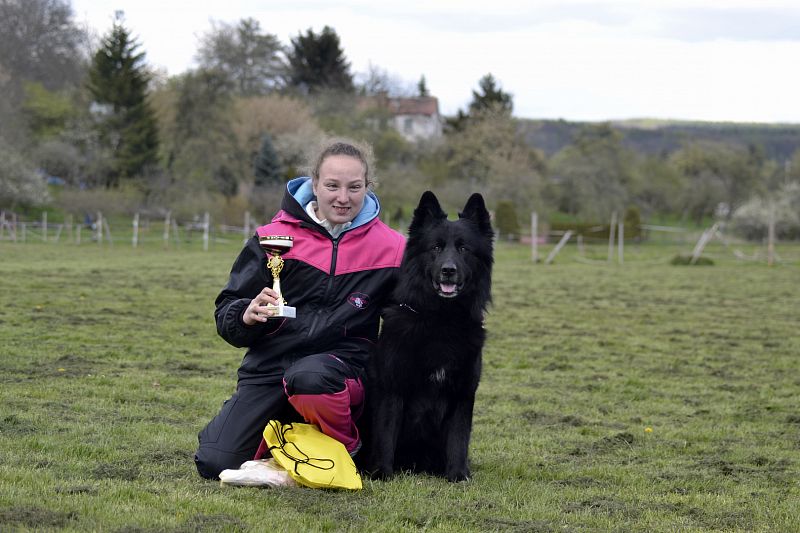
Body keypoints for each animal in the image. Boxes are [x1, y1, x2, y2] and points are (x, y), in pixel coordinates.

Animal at [364, 189, 490, 480]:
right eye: (436, 247)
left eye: (463, 249)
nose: (448, 270)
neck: (441, 320)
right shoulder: (392, 388)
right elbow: (385, 433)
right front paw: (382, 474)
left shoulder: (462, 392)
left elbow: (458, 437)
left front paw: (458, 475)